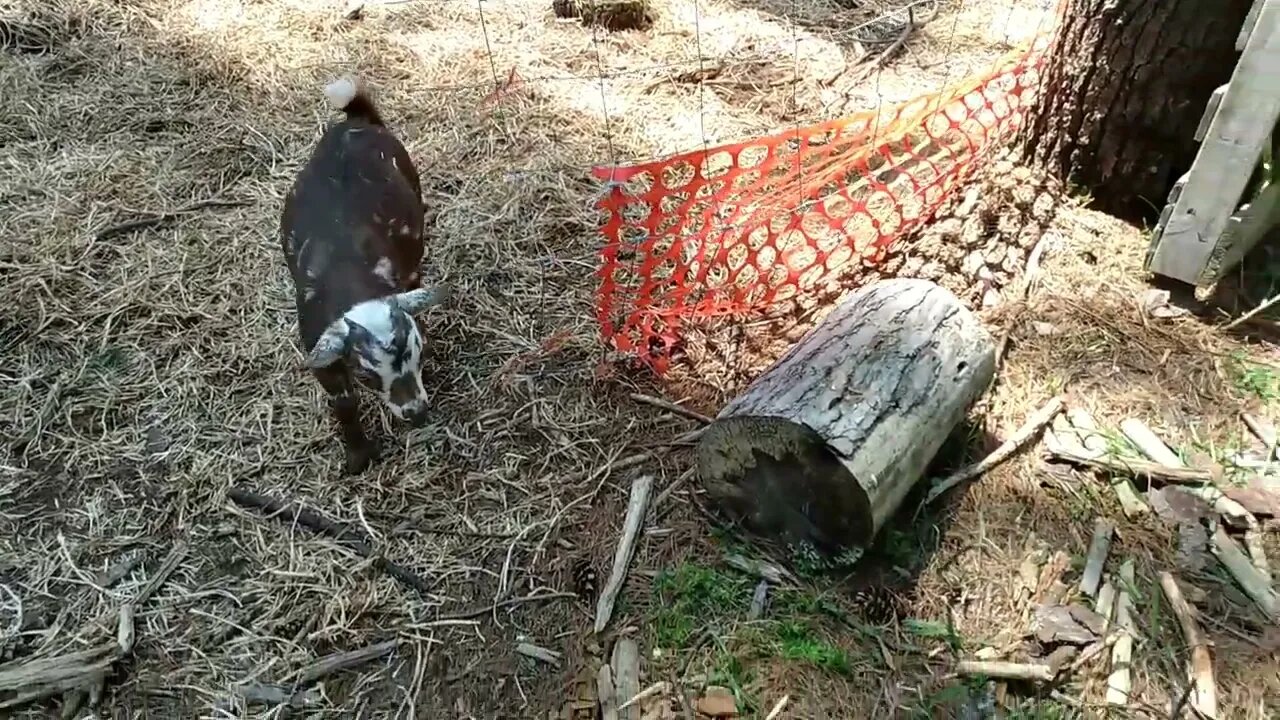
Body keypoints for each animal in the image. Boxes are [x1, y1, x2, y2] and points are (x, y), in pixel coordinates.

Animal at [282, 75, 448, 474]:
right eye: (367, 376)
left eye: (419, 354)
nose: (416, 413)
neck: (348, 277)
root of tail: (356, 120)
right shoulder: (322, 353)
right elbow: (343, 403)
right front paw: (358, 456)